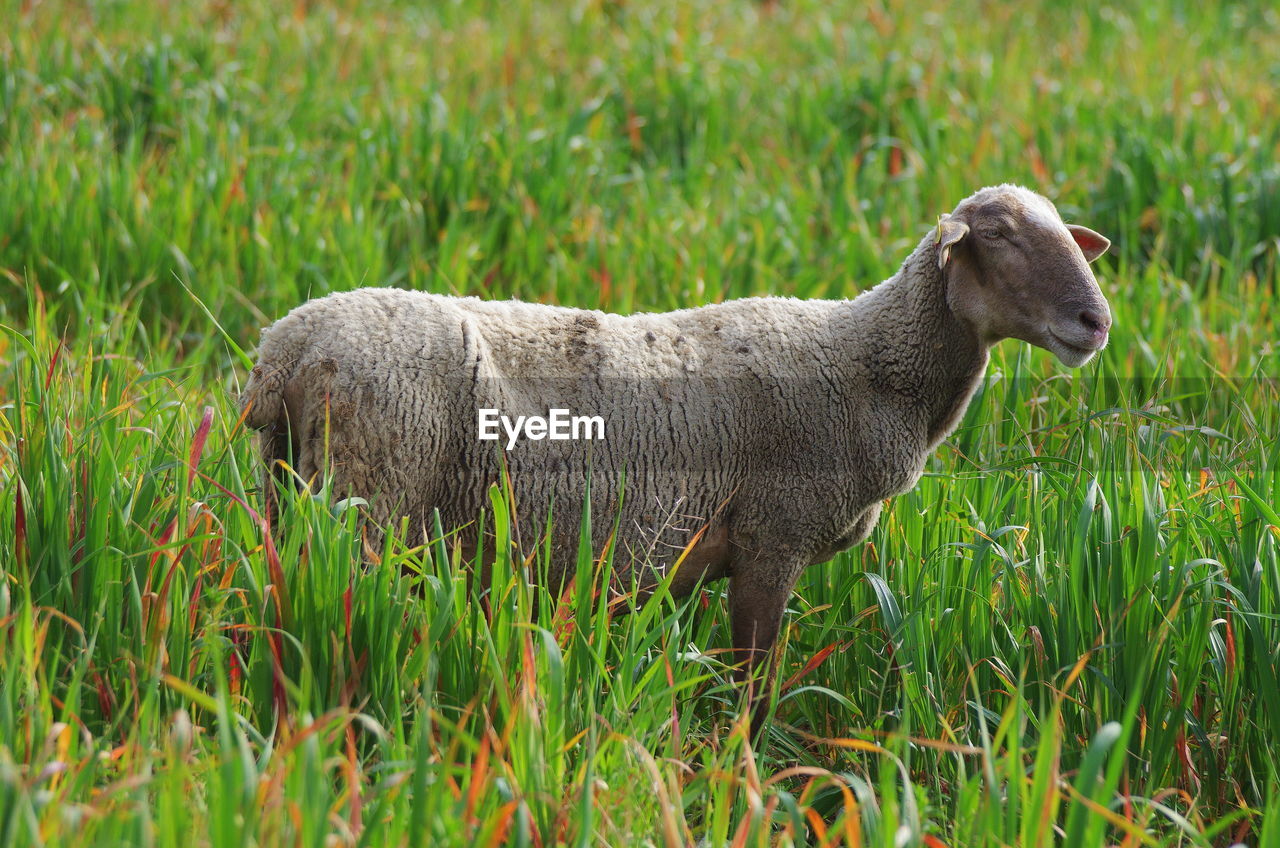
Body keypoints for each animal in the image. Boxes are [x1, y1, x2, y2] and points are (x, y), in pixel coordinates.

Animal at [241, 185, 1111, 732]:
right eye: (997, 235)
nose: (1095, 322)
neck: (870, 365)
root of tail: (282, 351)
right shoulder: (772, 538)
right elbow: (753, 687)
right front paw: (748, 777)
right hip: (371, 500)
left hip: (292, 490)